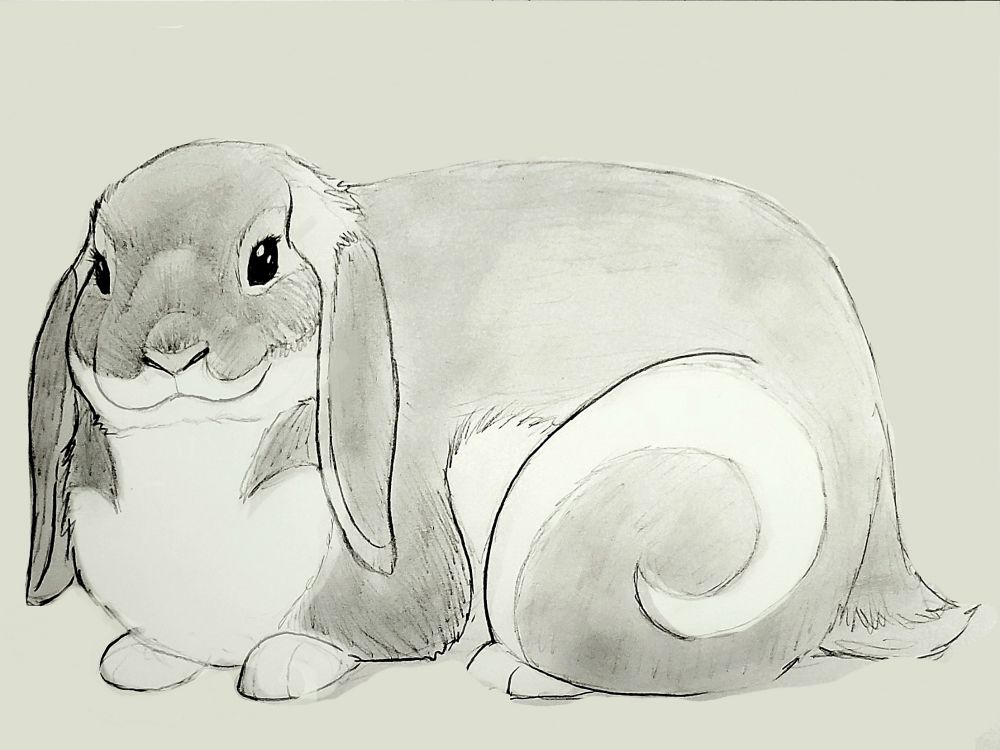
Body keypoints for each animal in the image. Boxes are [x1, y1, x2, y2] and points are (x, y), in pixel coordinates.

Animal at [27, 140, 975, 701]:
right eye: (101, 272)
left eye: (263, 259)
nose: (169, 352)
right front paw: (141, 660)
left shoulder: (405, 550)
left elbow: (355, 624)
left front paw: (288, 662)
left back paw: (516, 673)